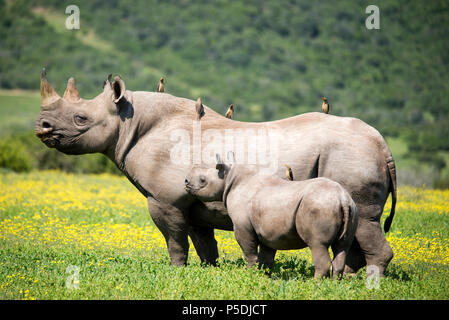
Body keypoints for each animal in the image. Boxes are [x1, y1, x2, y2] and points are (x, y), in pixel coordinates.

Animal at [185, 154, 356, 278]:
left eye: (202, 180)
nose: (185, 182)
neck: (229, 177)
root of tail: (342, 198)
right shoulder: (268, 229)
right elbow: (266, 256)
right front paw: (263, 277)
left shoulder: (242, 225)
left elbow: (249, 251)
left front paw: (250, 275)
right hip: (351, 208)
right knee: (342, 246)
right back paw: (334, 284)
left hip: (319, 206)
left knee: (317, 244)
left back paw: (315, 284)